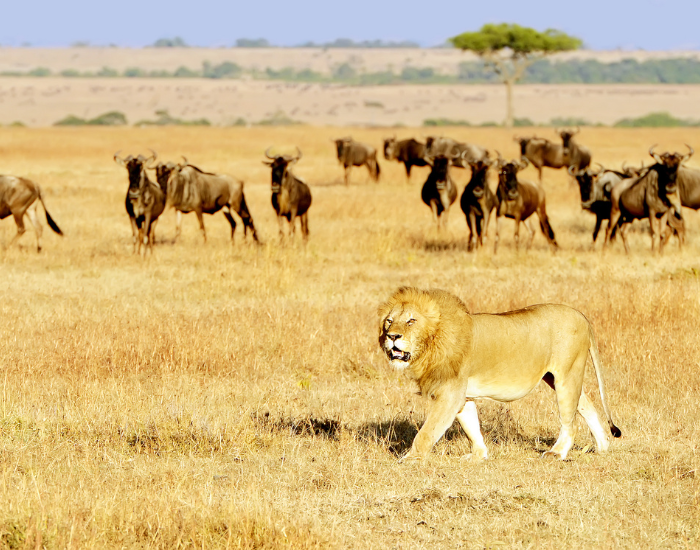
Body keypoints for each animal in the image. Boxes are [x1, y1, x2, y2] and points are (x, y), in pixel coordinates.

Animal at [378, 287, 621, 461]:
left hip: (566, 375)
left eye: (411, 321)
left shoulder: (450, 392)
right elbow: (471, 427)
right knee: (587, 405)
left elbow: (428, 430)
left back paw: (557, 453)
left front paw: (411, 458)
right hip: (557, 378)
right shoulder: (462, 395)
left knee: (570, 421)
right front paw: (479, 455)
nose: (392, 336)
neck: (432, 343)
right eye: (389, 321)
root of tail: (581, 315)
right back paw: (602, 446)